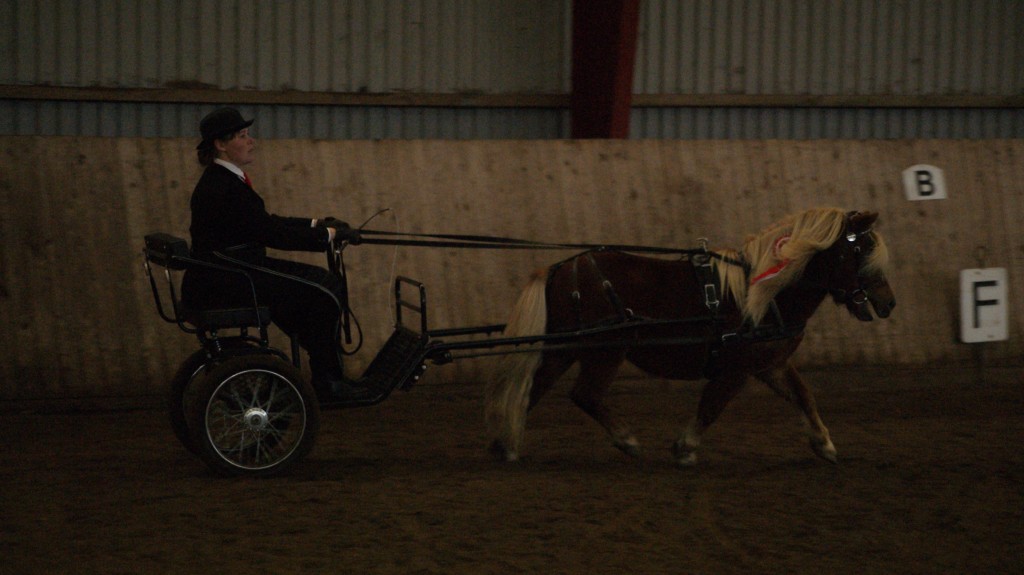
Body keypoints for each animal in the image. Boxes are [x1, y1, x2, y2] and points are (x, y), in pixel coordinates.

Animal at [483, 206, 892, 466]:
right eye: (860, 248)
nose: (889, 303)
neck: (766, 295)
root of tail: (562, 268)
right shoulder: (736, 368)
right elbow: (711, 406)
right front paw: (685, 447)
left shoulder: (771, 363)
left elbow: (804, 397)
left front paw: (824, 444)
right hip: (606, 350)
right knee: (585, 394)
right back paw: (626, 440)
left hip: (565, 348)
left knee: (534, 389)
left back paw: (505, 445)